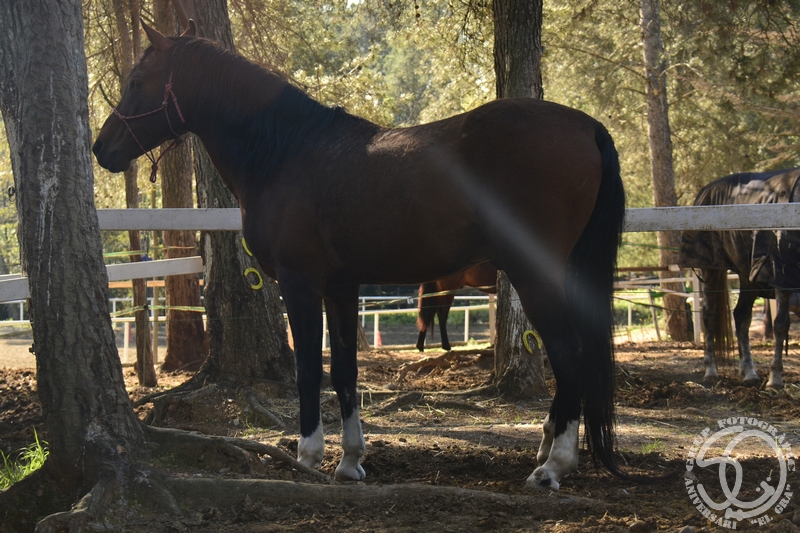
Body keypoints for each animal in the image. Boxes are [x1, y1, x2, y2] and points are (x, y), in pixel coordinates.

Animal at [92, 21, 627, 490]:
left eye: (136, 82)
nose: (101, 148)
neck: (285, 150)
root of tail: (587, 126)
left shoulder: (301, 283)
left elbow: (310, 368)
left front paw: (308, 455)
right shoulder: (342, 287)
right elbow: (345, 371)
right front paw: (350, 461)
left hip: (533, 273)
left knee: (570, 352)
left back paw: (554, 466)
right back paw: (547, 448)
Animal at [679, 168, 800, 388]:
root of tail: (706, 189)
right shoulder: (782, 275)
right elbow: (781, 324)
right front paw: (775, 378)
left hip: (746, 276)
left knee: (742, 316)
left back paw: (749, 373)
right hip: (711, 267)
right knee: (710, 315)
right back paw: (711, 371)